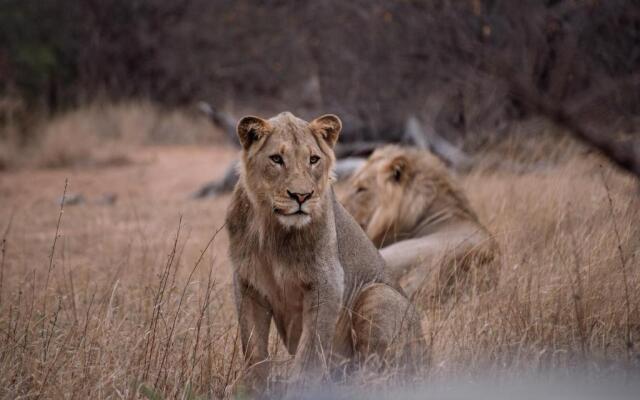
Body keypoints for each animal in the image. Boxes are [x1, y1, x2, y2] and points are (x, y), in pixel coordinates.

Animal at [225, 112, 424, 394]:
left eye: (313, 159)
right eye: (276, 159)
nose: (301, 196)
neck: (274, 230)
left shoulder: (327, 281)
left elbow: (310, 350)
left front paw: (300, 390)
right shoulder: (247, 283)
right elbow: (253, 347)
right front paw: (255, 389)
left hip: (378, 293)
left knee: (382, 374)